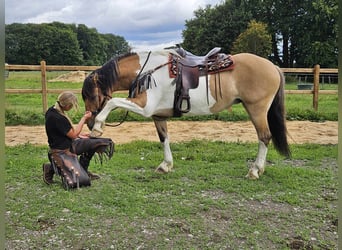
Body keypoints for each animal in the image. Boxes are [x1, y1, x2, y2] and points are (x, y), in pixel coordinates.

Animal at [81, 47, 290, 180]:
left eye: (91, 94)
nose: (89, 122)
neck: (149, 71)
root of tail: (272, 66)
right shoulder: (158, 116)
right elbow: (164, 139)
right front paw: (165, 166)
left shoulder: (145, 106)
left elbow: (113, 102)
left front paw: (98, 128)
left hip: (257, 109)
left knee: (264, 136)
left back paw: (254, 171)